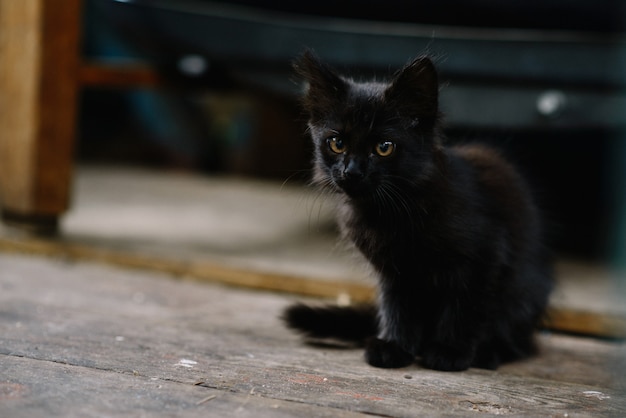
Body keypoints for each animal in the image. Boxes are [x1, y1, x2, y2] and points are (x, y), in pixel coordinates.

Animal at [282, 50, 552, 370]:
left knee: (517, 338)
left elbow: (465, 306)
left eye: (384, 147)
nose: (352, 172)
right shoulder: (394, 273)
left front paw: (449, 351)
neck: (391, 211)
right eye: (336, 143)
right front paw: (395, 347)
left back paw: (488, 352)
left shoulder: (483, 256)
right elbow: (398, 308)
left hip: (523, 294)